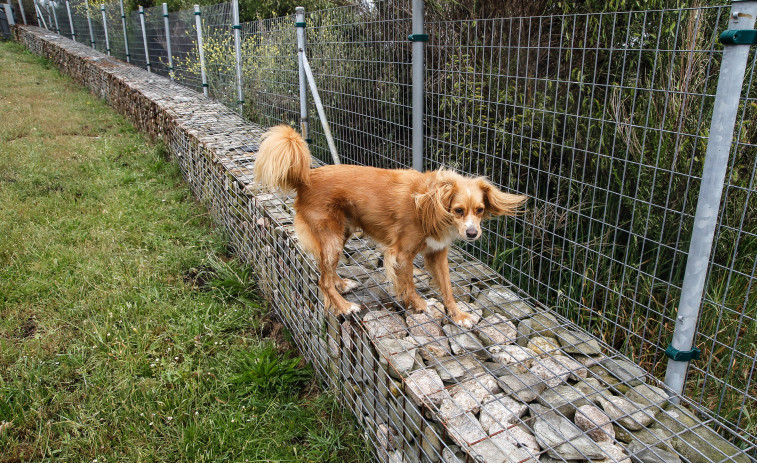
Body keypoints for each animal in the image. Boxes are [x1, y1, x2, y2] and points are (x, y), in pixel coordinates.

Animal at [254, 127, 524, 328]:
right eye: (458, 210)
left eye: (479, 210)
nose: (472, 233)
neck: (431, 206)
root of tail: (307, 179)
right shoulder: (401, 253)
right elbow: (408, 283)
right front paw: (420, 305)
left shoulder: (438, 254)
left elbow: (447, 288)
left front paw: (458, 315)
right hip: (332, 238)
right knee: (323, 281)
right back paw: (344, 306)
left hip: (341, 234)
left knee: (325, 272)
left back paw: (342, 284)